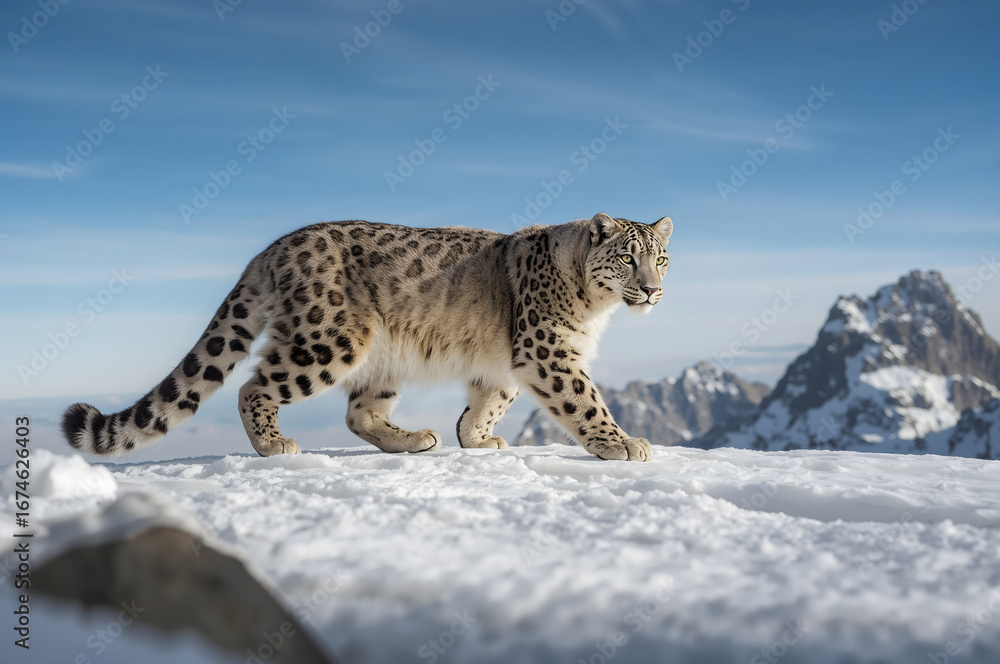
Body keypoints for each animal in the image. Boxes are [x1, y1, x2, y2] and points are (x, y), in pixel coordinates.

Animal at [62, 212, 673, 462]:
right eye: (627, 257)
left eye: (661, 257)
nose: (651, 290)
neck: (595, 309)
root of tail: (272, 249)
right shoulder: (548, 350)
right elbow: (583, 400)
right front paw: (623, 443)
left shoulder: (509, 363)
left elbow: (492, 399)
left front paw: (476, 438)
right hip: (330, 340)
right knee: (253, 387)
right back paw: (274, 444)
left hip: (383, 360)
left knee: (360, 412)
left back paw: (416, 438)